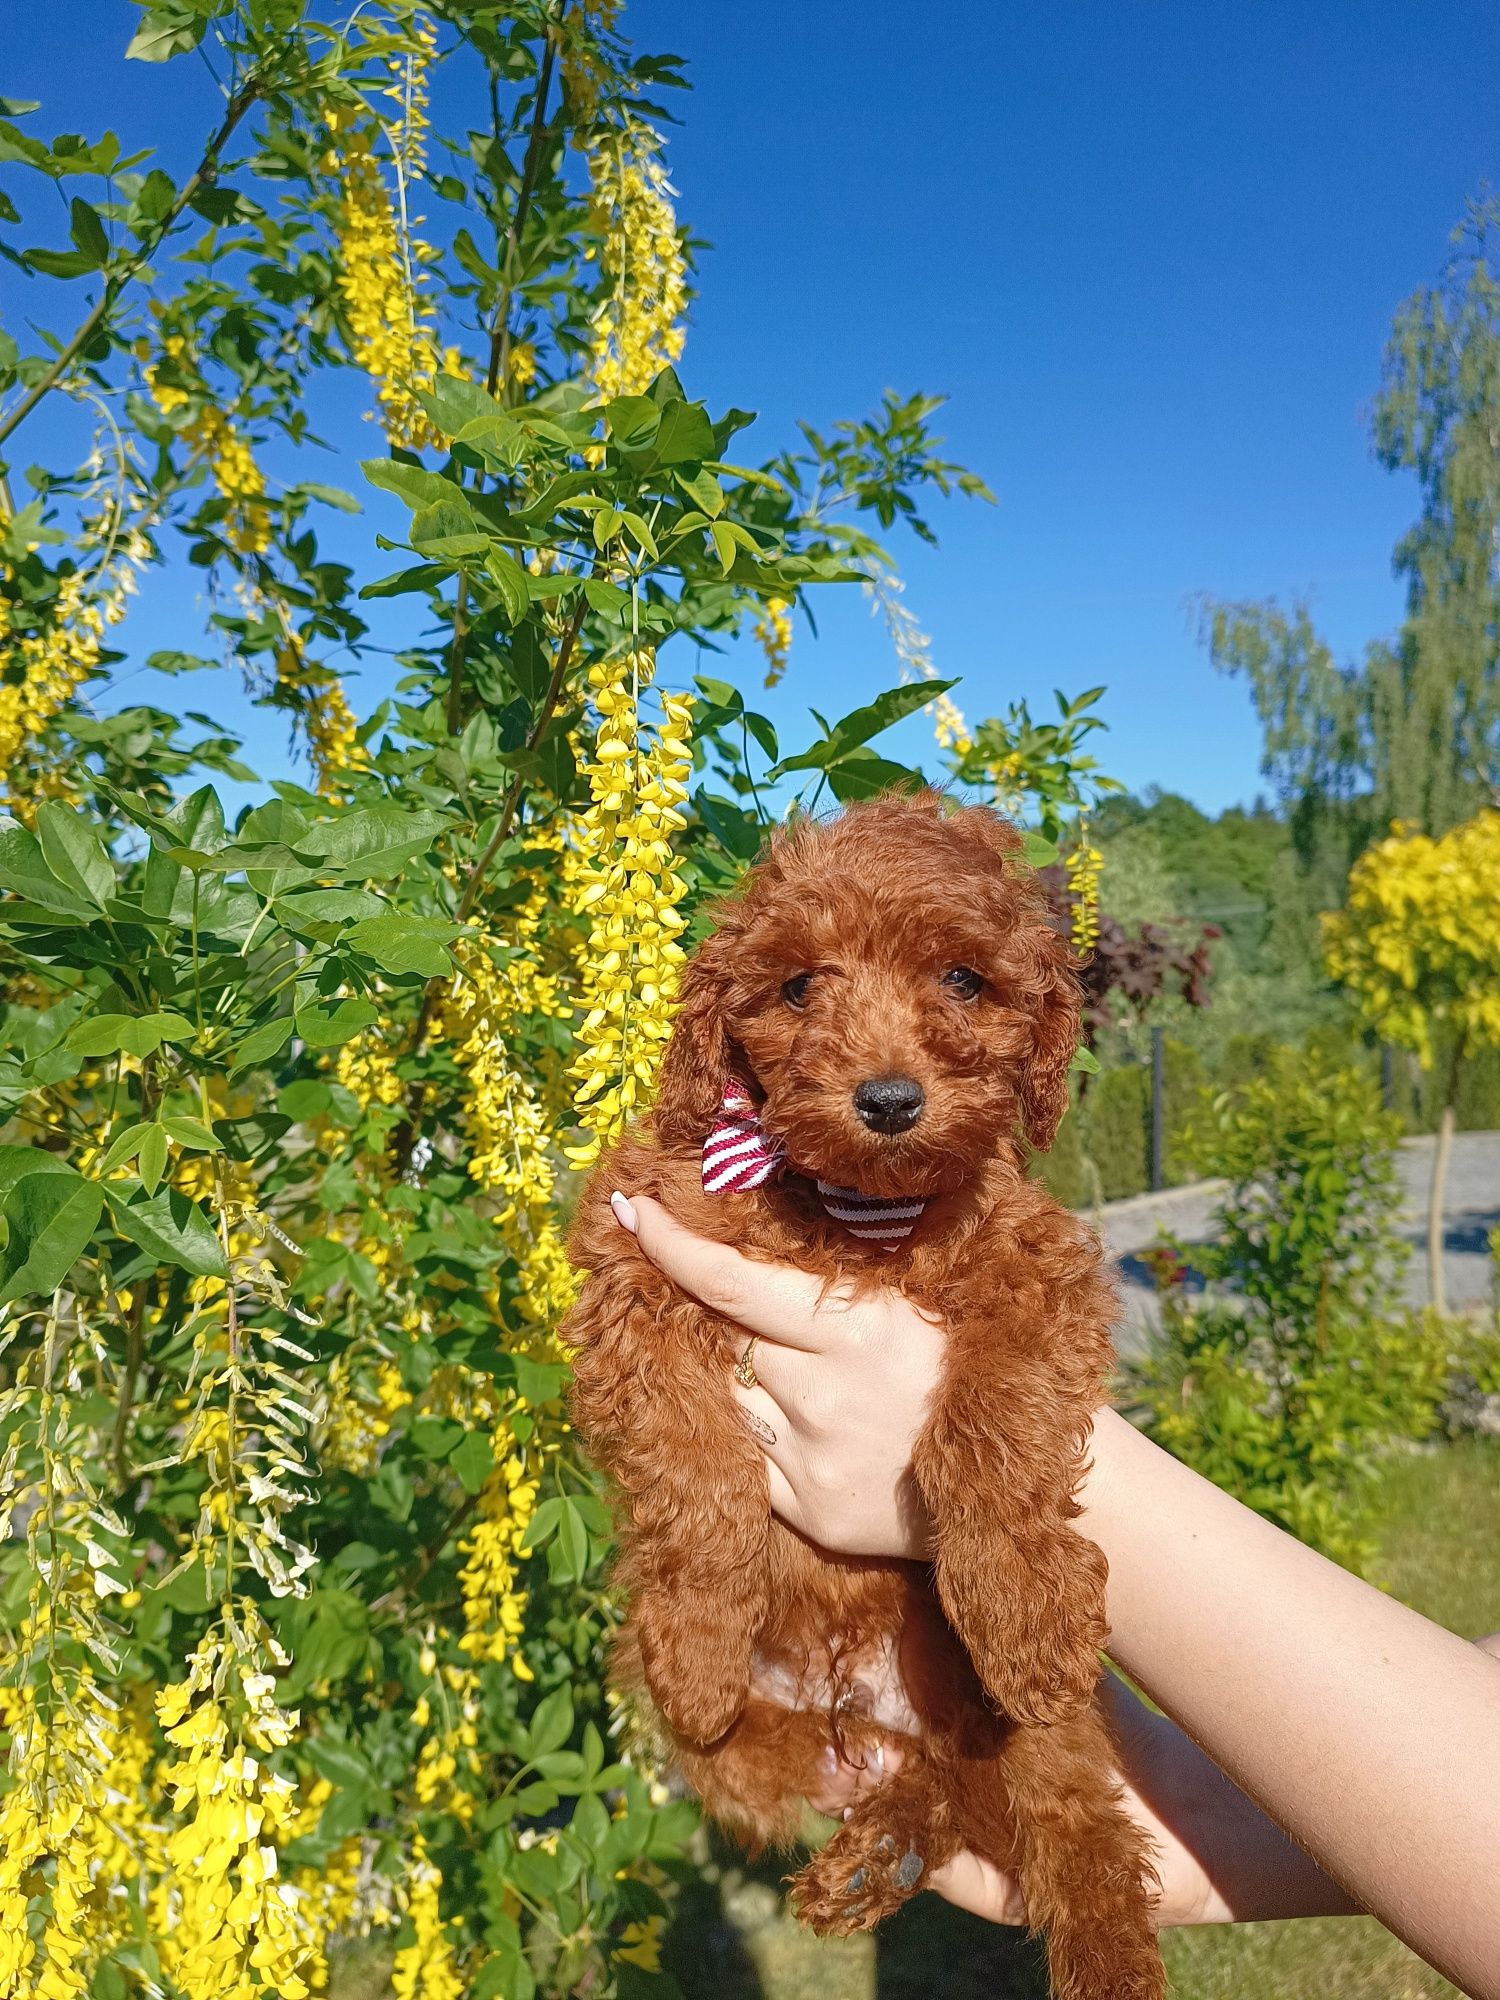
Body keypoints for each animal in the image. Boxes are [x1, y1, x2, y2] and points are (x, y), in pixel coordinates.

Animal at [568, 788, 1168, 1992]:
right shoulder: (635, 1266)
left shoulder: (1035, 1271)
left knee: (1075, 1824)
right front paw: (699, 1639)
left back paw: (1104, 1952)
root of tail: (871, 1708)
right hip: (733, 1754)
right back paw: (874, 1845)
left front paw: (1022, 1603)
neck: (859, 1213)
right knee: (903, 1786)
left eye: (964, 981)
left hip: (1037, 1728)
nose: (889, 1099)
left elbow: (992, 1426)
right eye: (801, 986)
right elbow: (698, 1472)